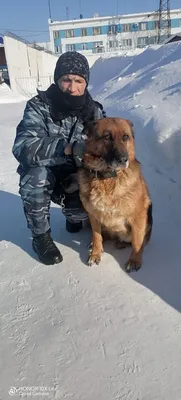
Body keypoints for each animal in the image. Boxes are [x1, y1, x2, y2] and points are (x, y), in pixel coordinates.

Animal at [78, 115, 153, 272]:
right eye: (107, 137)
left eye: (126, 137)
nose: (124, 160)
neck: (107, 178)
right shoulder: (93, 215)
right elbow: (96, 236)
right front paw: (95, 253)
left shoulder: (138, 217)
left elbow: (137, 242)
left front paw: (135, 260)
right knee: (102, 235)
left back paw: (122, 243)